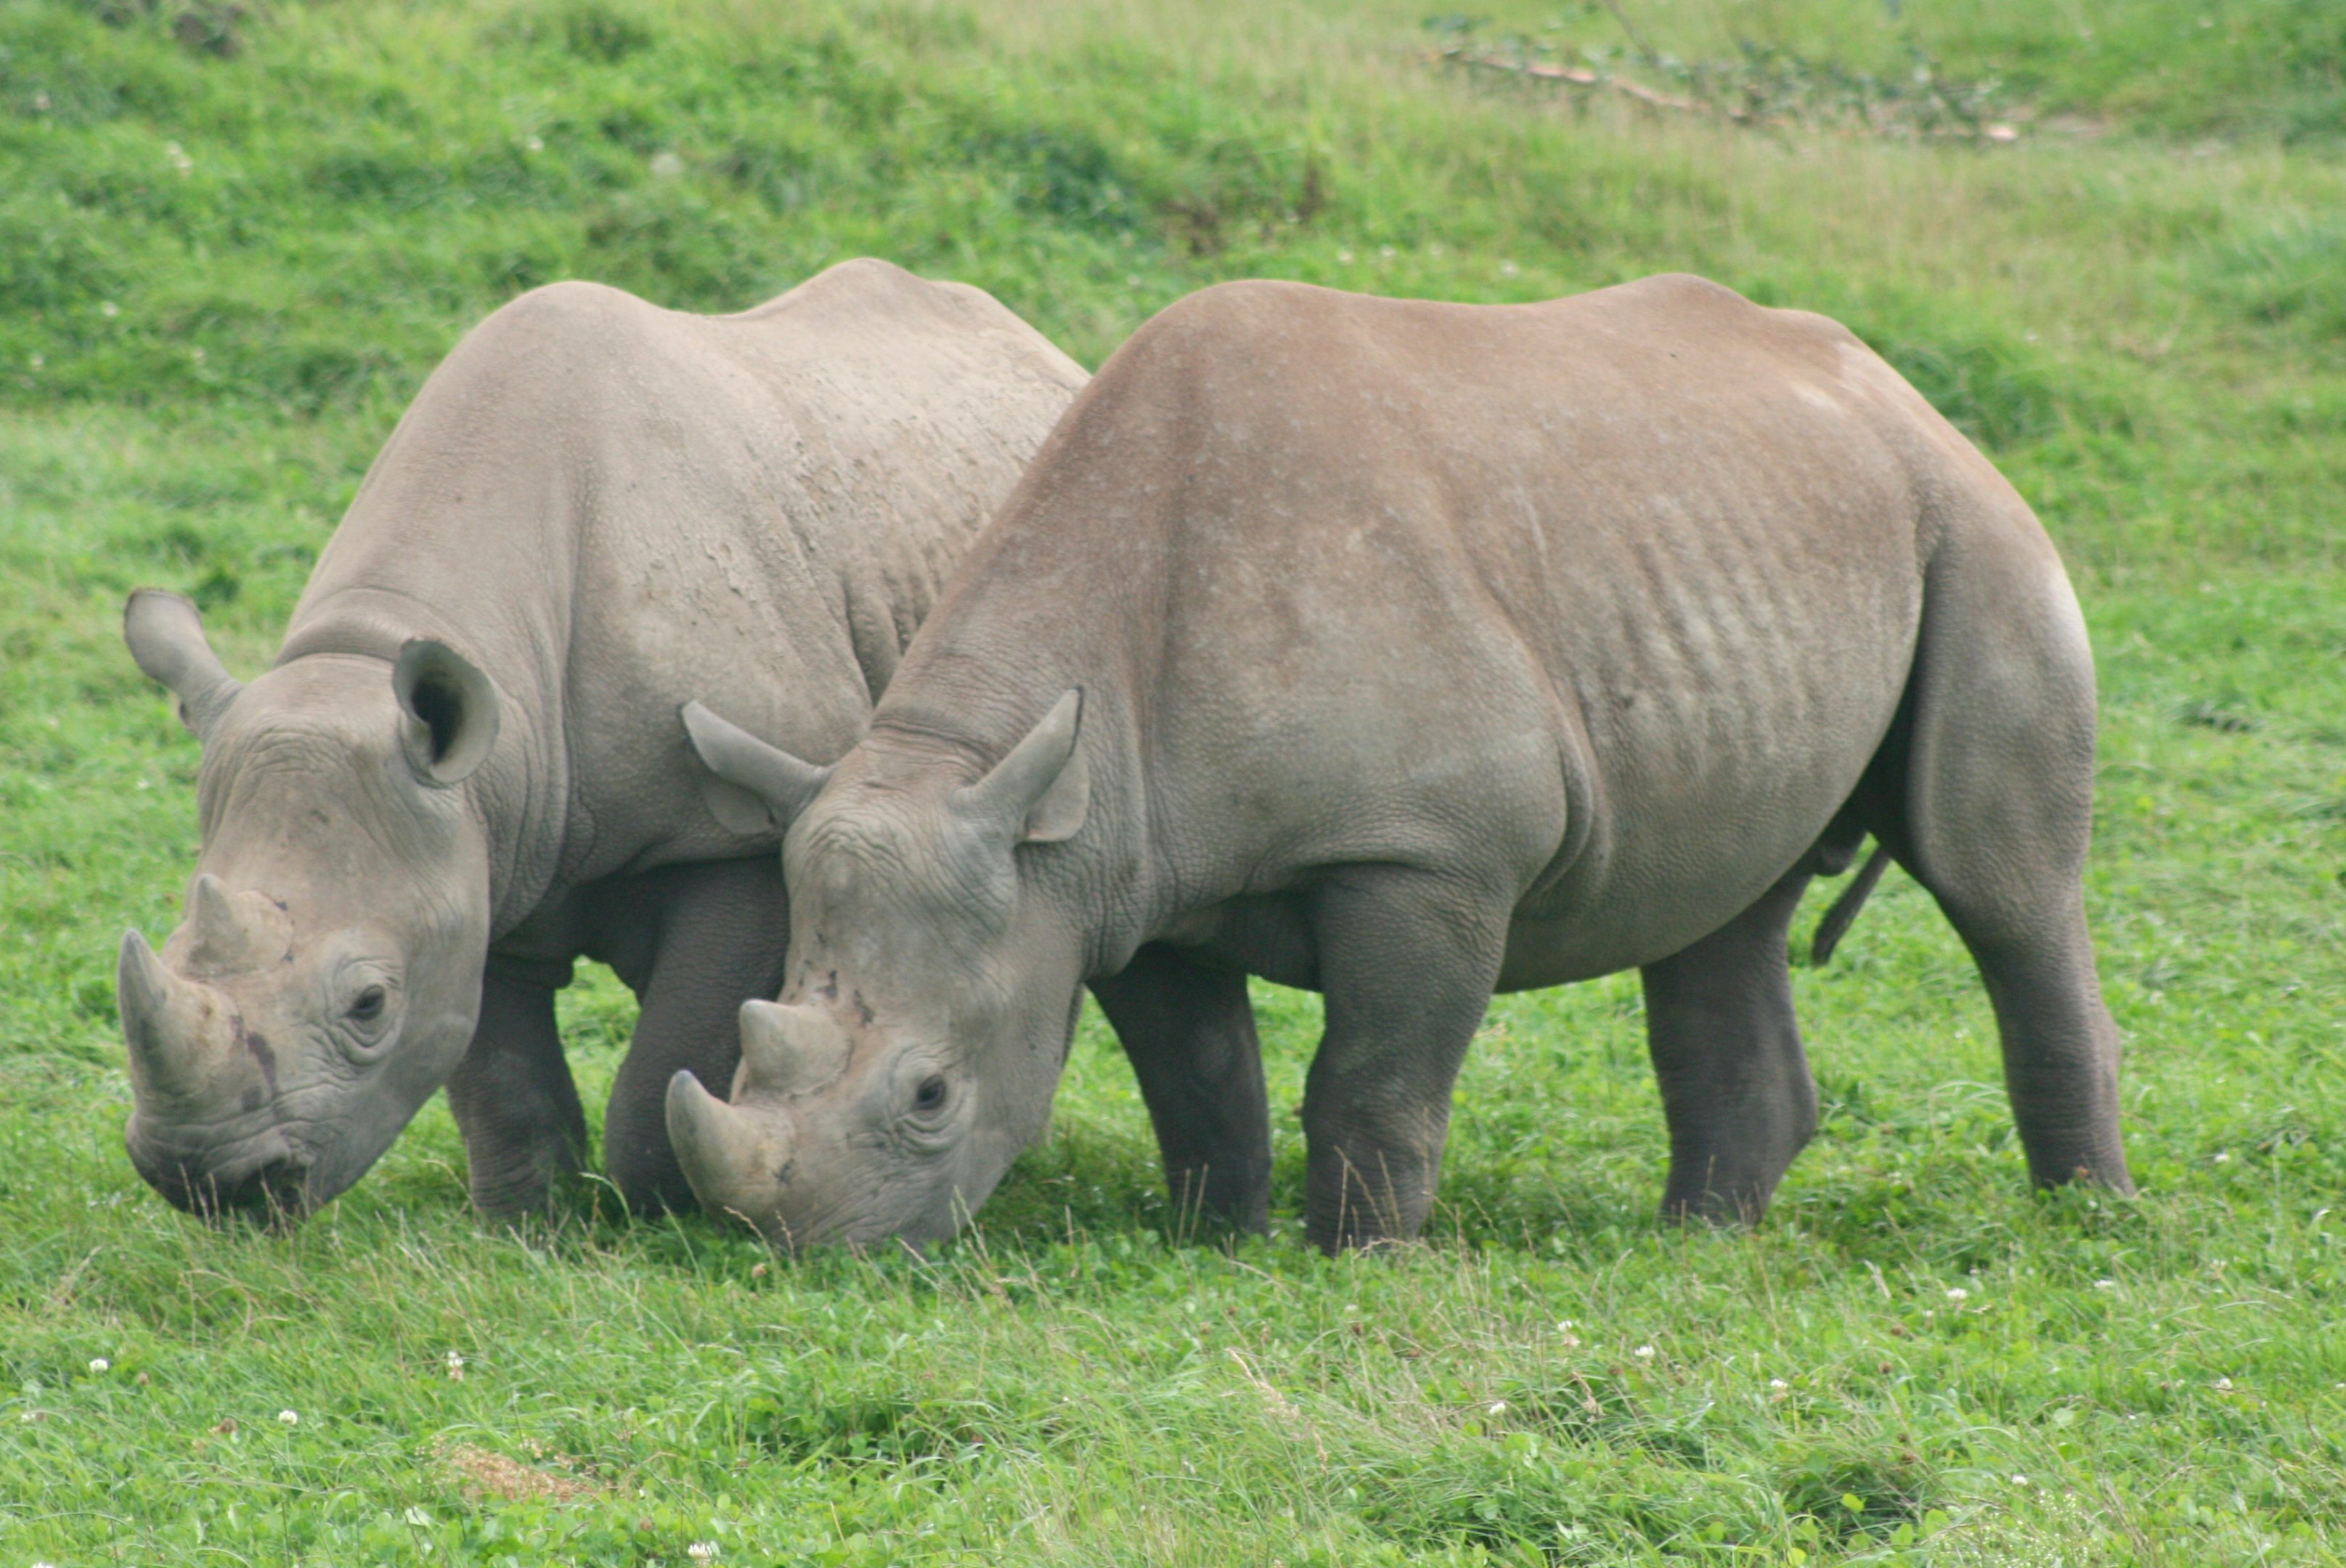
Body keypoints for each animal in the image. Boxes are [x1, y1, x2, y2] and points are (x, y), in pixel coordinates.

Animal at [116, 259, 1087, 1221]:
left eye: (367, 1005)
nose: (211, 1181)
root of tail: (1036, 344)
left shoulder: (731, 836)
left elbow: (666, 1071)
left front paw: (672, 1214)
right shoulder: (481, 837)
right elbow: (498, 1071)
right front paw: (525, 1223)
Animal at [668, 273, 2136, 1252]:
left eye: (929, 1096)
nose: (807, 1247)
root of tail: (1895, 389)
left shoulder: (1430, 852)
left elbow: (1373, 1073)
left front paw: (1359, 1254)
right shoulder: (1108, 874)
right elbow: (1196, 1068)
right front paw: (1218, 1237)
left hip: (1976, 529)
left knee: (1998, 891)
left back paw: (2085, 1225)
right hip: (1772, 540)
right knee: (1718, 912)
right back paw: (1701, 1241)